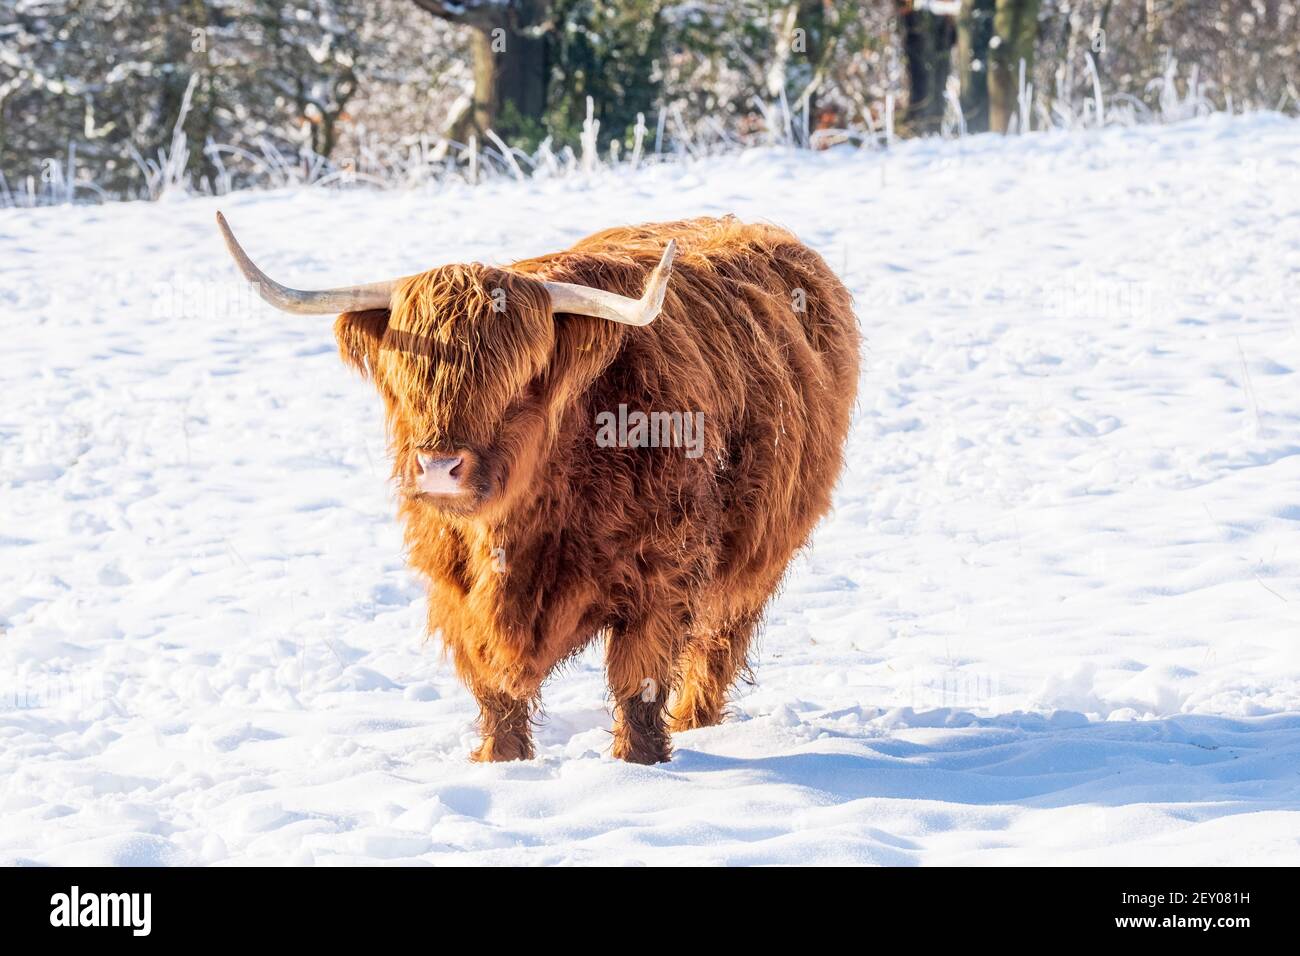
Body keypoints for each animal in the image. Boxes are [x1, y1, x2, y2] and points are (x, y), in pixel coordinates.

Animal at [217, 210, 857, 764]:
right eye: (406, 375)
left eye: (519, 380)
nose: (439, 467)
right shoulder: (458, 589)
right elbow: (494, 688)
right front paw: (502, 761)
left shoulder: (663, 576)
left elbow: (639, 684)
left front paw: (639, 764)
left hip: (759, 556)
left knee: (717, 646)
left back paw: (696, 722)